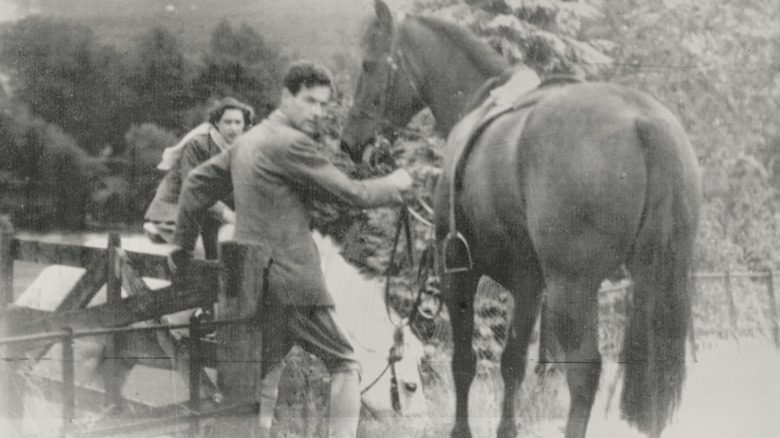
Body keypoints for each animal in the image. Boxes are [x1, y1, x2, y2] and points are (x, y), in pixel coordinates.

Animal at [342, 1, 700, 436]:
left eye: (369, 65)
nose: (349, 142)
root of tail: (642, 120)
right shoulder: (530, 284)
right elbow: (512, 362)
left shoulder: (457, 271)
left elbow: (464, 363)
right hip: (651, 280)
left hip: (573, 288)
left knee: (584, 372)